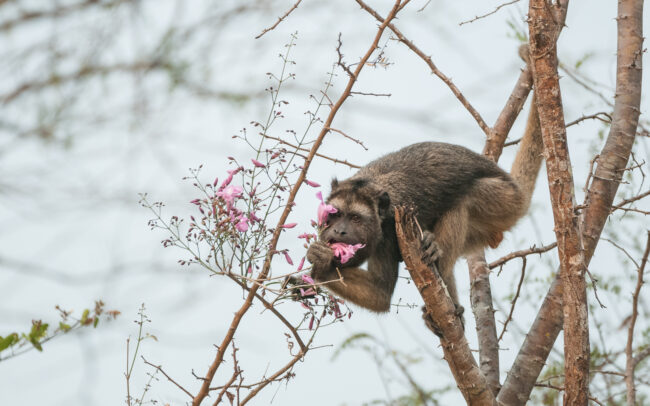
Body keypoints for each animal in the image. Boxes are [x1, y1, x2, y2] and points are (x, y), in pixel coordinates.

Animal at [304, 101, 543, 318]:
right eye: (335, 216)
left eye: (355, 218)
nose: (339, 231)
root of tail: (516, 188)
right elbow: (379, 294)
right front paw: (322, 261)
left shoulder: (391, 226)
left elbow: (381, 293)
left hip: (506, 202)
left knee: (466, 198)